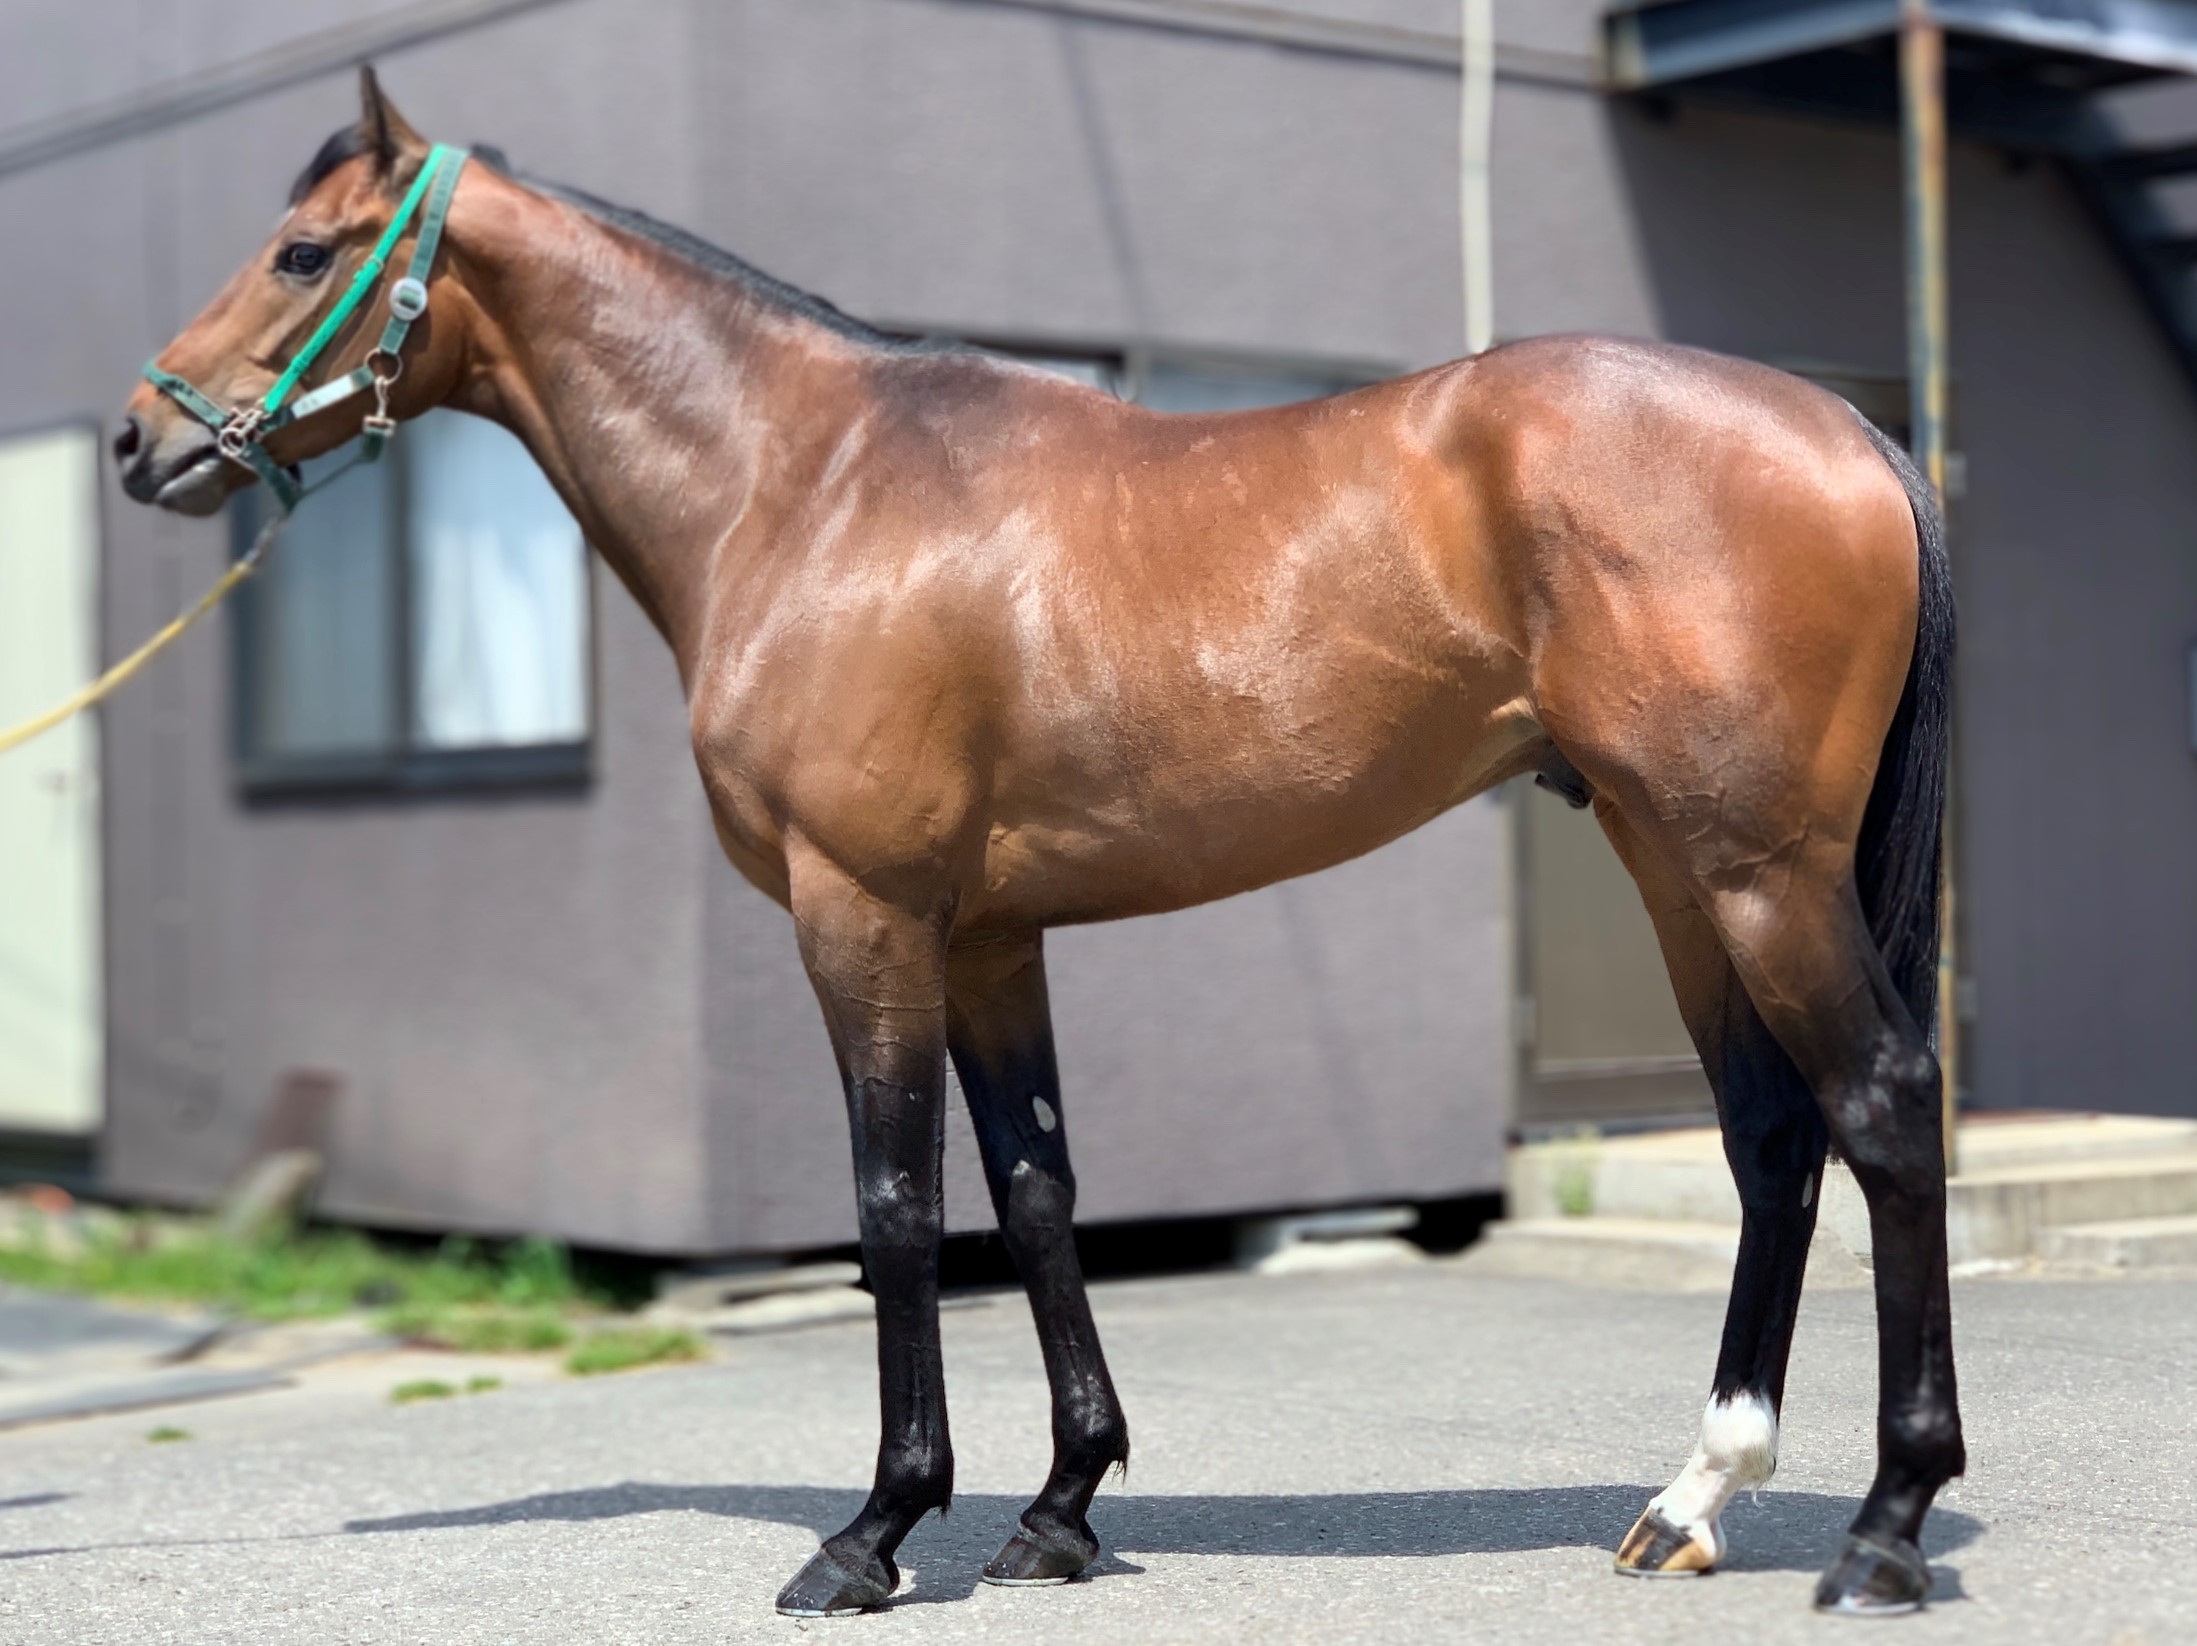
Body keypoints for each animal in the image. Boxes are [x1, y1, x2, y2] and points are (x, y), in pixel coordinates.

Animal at [114, 69, 1959, 1619]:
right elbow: (1037, 1187)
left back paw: (1881, 1527)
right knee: (1770, 1135)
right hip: (1677, 863)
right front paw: (1061, 1509)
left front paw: (872, 1532)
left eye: (300, 250)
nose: (143, 438)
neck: (805, 486)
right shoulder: (994, 935)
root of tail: (1851, 430)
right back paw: (1693, 1498)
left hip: (1755, 870)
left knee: (1878, 1105)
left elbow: (897, 1205)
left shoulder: (860, 913)